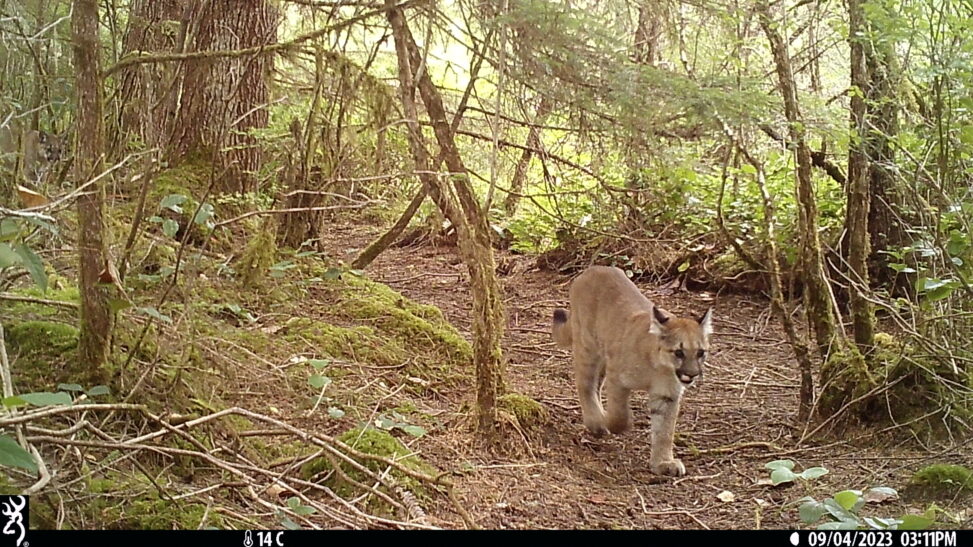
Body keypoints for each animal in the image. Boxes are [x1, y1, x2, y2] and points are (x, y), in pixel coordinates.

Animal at [556, 266, 712, 476]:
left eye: (700, 352)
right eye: (679, 352)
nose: (693, 374)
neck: (660, 368)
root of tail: (593, 269)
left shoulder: (667, 395)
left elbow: (665, 430)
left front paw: (663, 463)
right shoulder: (617, 376)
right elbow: (619, 415)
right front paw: (612, 422)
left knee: (596, 385)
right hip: (588, 347)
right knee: (585, 384)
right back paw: (596, 422)